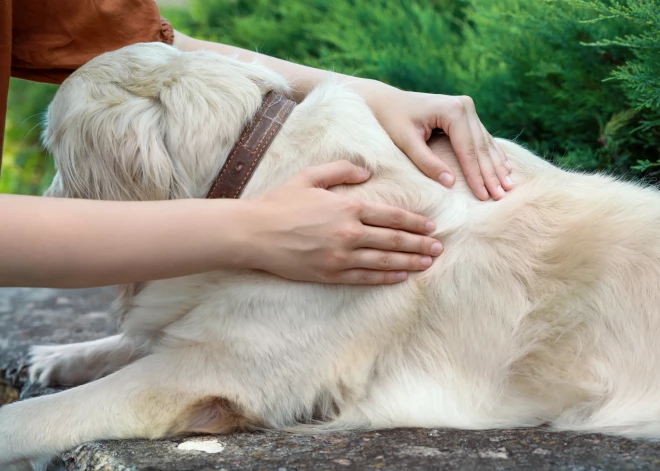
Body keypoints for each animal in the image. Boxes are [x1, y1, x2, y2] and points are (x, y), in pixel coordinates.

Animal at [1, 41, 660, 468]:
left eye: (53, 151)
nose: (43, 205)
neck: (255, 171)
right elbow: (131, 340)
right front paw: (55, 356)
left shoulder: (201, 376)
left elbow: (47, 414)